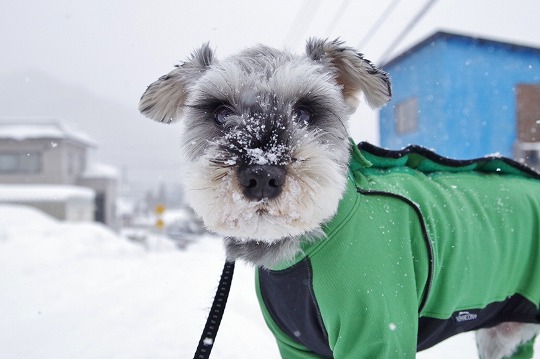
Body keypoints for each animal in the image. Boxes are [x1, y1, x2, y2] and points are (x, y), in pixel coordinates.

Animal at [137, 38, 536, 359]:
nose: (262, 175)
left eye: (305, 112)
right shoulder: (296, 344)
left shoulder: (377, 334)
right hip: (506, 333)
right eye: (220, 112)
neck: (308, 244)